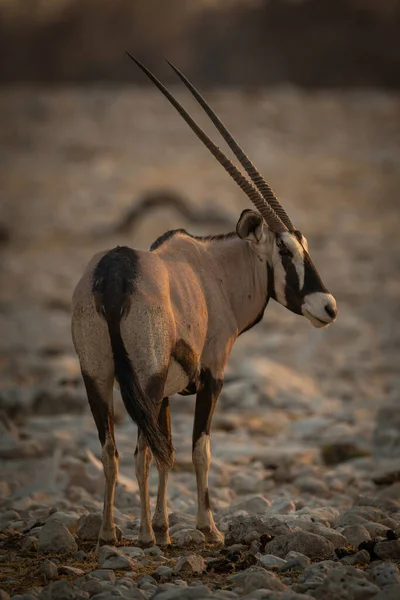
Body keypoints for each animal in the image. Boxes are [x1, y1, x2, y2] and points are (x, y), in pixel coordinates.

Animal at [72, 57, 338, 548]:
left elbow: (168, 451)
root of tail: (113, 275)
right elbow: (199, 450)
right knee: (138, 451)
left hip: (97, 376)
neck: (215, 270)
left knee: (113, 450)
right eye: (285, 249)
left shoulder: (164, 394)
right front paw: (205, 527)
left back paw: (109, 532)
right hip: (145, 378)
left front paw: (165, 526)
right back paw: (142, 536)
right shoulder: (212, 375)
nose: (327, 307)